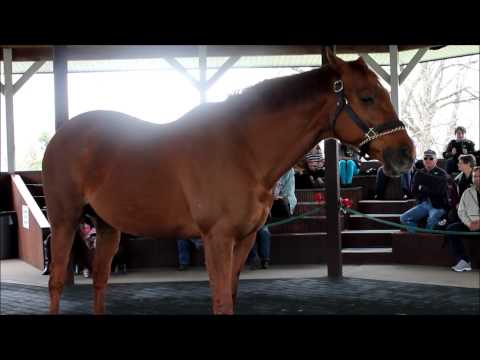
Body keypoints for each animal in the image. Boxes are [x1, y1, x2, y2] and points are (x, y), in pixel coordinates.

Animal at [42, 49, 416, 314]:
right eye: (366, 97)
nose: (405, 153)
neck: (242, 150)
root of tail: (61, 137)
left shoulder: (245, 238)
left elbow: (232, 295)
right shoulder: (217, 238)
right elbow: (221, 300)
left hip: (108, 227)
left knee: (99, 282)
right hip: (64, 222)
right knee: (57, 282)